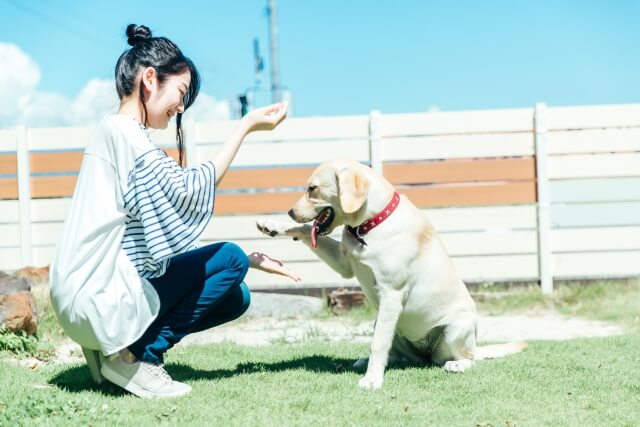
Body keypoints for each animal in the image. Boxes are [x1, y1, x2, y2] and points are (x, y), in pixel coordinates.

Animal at [255, 159, 524, 390]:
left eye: (313, 189)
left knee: (466, 357)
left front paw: (372, 381)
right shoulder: (345, 265)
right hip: (389, 324)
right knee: (399, 357)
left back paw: (457, 364)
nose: (290, 212)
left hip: (453, 330)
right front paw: (274, 225)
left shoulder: (391, 294)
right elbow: (303, 229)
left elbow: (377, 344)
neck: (369, 225)